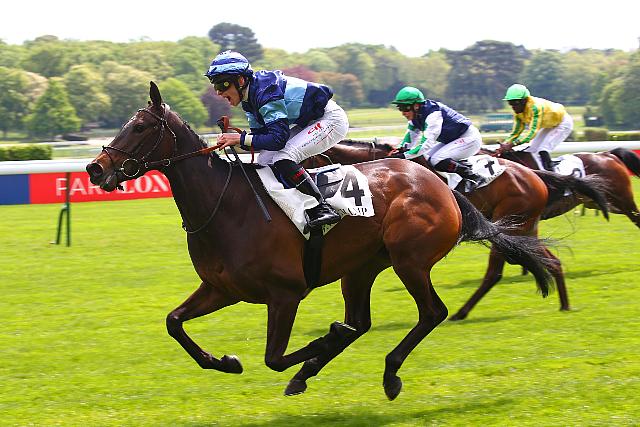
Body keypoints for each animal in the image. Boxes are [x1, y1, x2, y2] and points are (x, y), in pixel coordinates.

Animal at [85, 83, 556, 402]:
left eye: (140, 127)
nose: (94, 168)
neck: (226, 207)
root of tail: (437, 182)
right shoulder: (222, 289)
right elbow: (174, 323)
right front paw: (226, 361)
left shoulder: (285, 293)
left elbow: (274, 357)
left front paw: (316, 346)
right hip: (361, 268)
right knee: (361, 322)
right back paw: (318, 369)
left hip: (410, 260)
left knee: (430, 313)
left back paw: (388, 373)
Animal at [302, 140, 608, 320]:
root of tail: (533, 174)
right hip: (523, 226)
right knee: (548, 259)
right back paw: (564, 304)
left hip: (512, 222)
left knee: (495, 272)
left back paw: (462, 312)